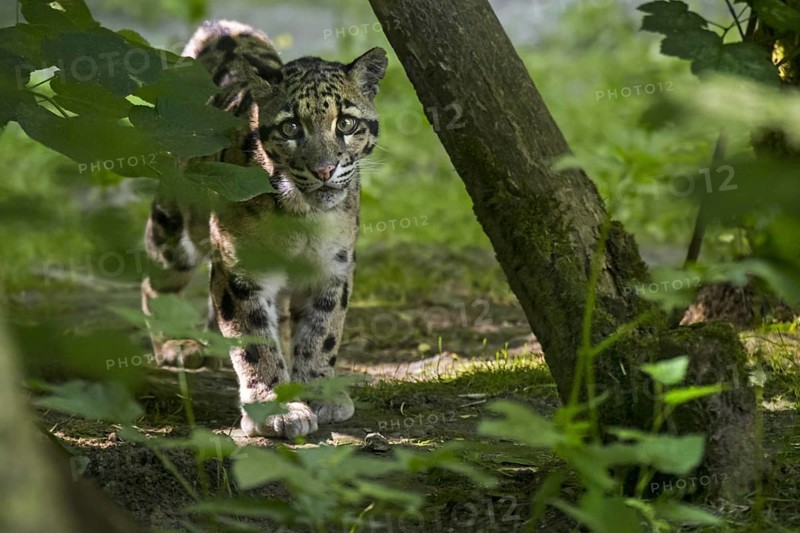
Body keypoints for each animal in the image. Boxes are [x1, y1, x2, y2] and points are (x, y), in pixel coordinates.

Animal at [140, 20, 387, 438]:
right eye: (290, 128)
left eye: (346, 122)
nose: (324, 170)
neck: (303, 215)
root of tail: (223, 28)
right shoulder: (241, 270)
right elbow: (254, 340)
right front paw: (277, 407)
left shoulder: (332, 269)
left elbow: (322, 332)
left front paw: (317, 391)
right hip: (176, 223)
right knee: (155, 279)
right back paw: (176, 342)